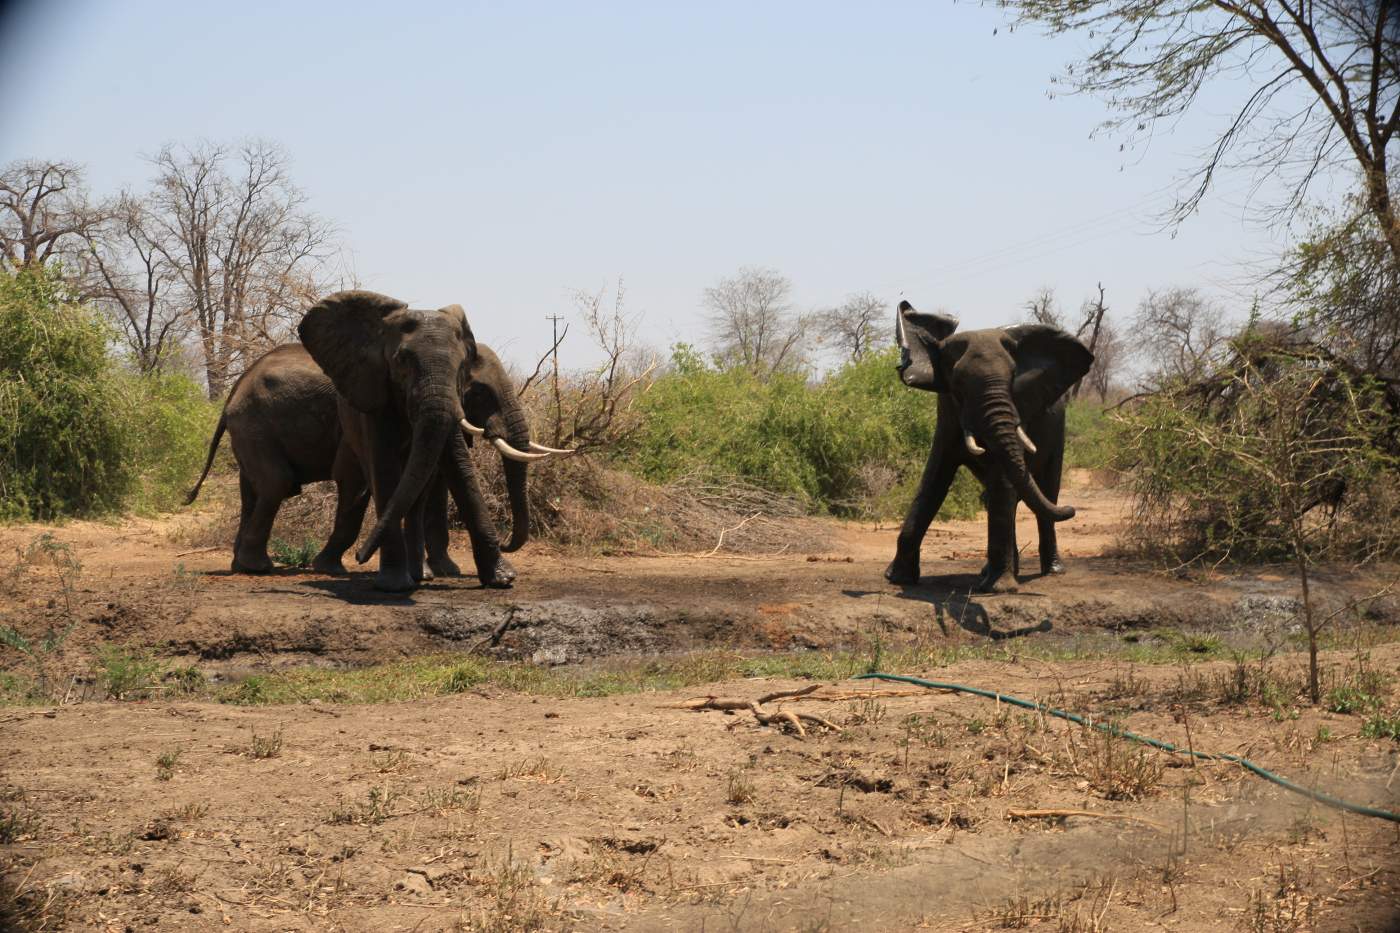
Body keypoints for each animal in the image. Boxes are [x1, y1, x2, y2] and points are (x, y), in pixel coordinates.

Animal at [298, 288, 512, 588]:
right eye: (401, 361)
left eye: (462, 366)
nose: (359, 557)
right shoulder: (375, 393)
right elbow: (384, 469)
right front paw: (393, 586)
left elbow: (460, 468)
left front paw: (502, 579)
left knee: (416, 495)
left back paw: (421, 575)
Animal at [884, 301, 1092, 591]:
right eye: (958, 383)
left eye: (1013, 377)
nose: (1074, 509)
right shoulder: (947, 412)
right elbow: (934, 479)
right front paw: (897, 579)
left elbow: (1002, 480)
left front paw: (999, 589)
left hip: (1058, 430)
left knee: (1047, 492)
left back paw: (1051, 571)